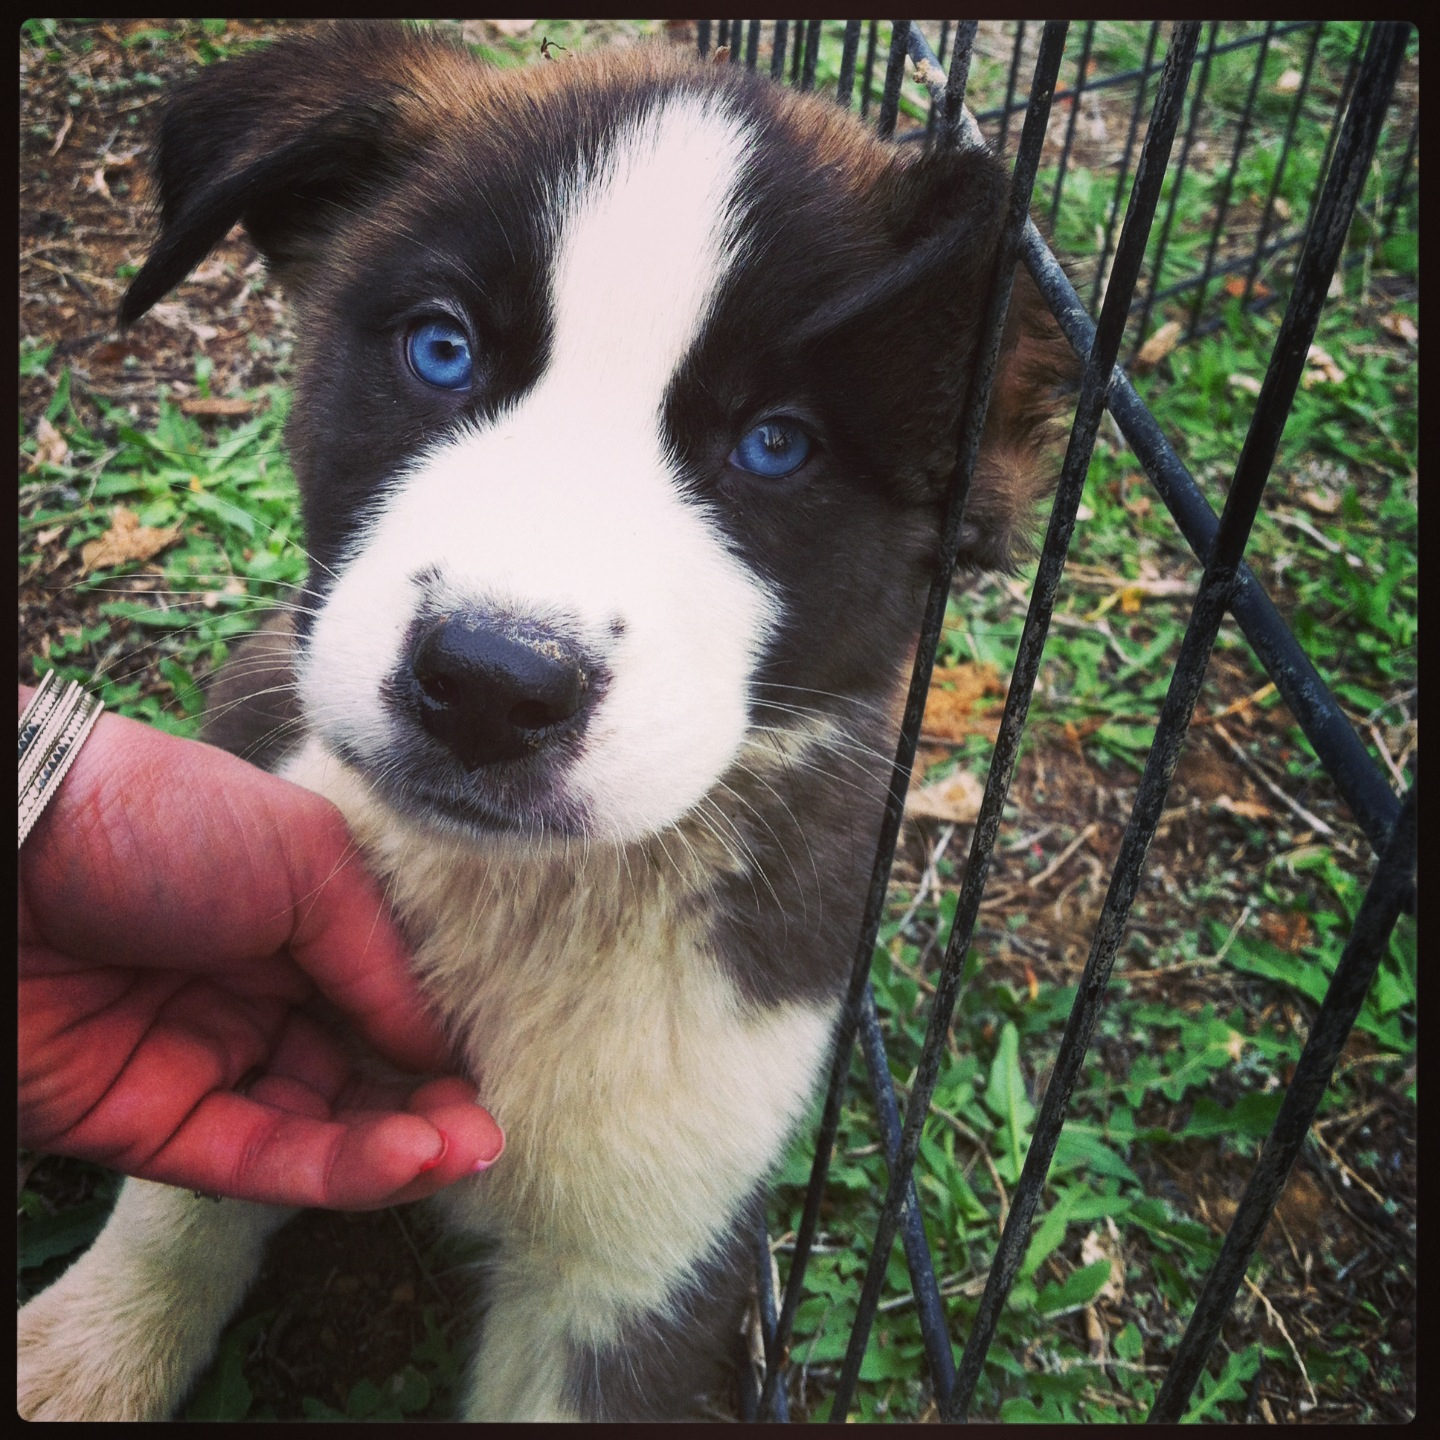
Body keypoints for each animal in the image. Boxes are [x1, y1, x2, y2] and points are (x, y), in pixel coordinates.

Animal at [16, 25, 1065, 1428]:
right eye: (441, 350)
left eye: (776, 445)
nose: (488, 684)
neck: (520, 906)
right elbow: (177, 1208)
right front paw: (84, 1356)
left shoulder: (647, 1265)